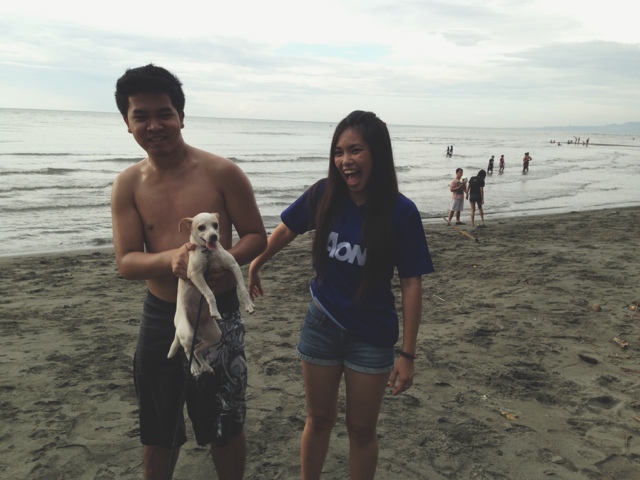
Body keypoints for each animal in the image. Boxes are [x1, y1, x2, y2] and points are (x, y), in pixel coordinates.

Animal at [168, 212, 254, 376]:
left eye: (216, 225)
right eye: (201, 227)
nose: (214, 236)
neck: (208, 253)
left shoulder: (233, 265)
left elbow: (242, 288)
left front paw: (249, 305)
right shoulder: (195, 275)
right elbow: (209, 293)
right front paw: (214, 311)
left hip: (214, 335)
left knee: (196, 350)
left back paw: (205, 367)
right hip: (187, 333)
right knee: (187, 350)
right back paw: (194, 368)